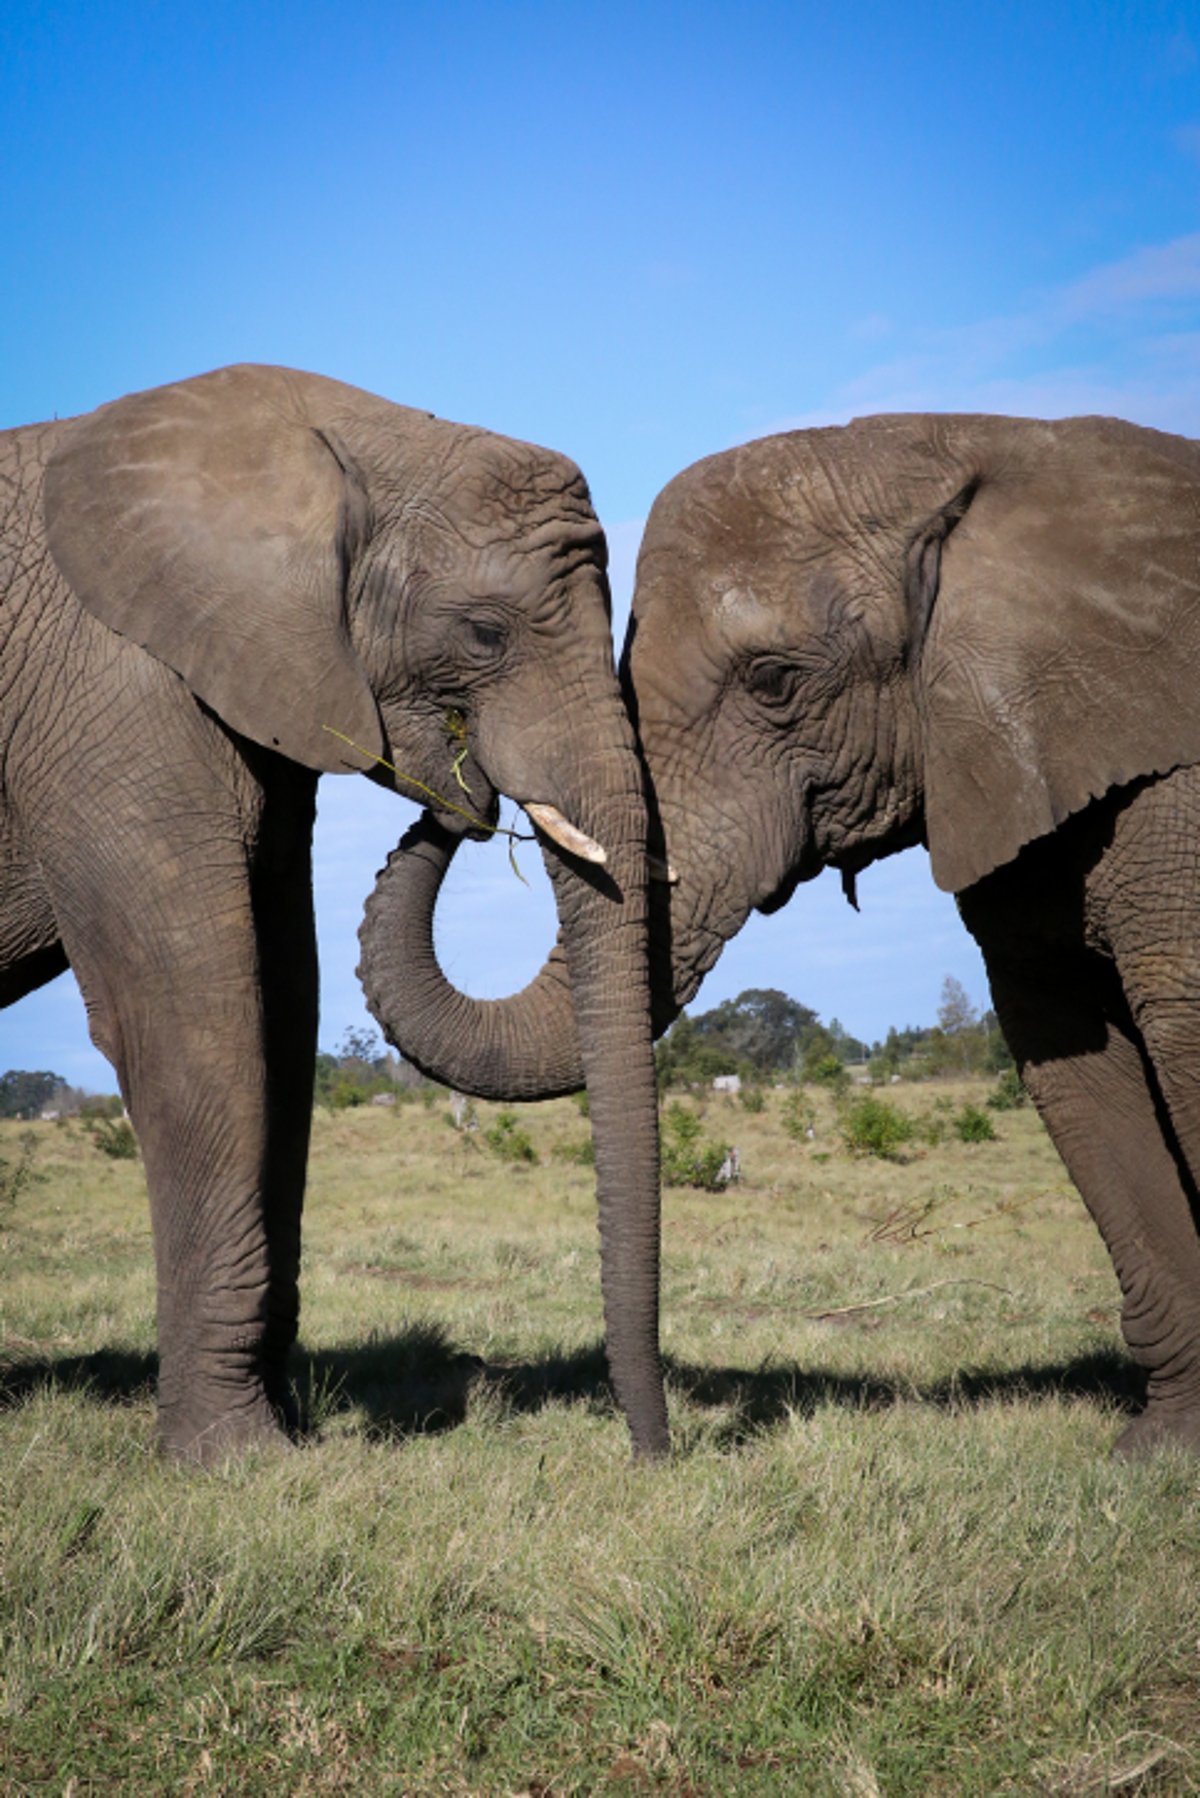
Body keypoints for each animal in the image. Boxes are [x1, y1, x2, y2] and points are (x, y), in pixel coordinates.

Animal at [0, 361, 665, 1459]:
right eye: (485, 632)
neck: (340, 437)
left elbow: (284, 1002)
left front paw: (282, 1424)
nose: (652, 1449)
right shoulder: (106, 696)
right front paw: (235, 1459)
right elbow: (189, 1013)